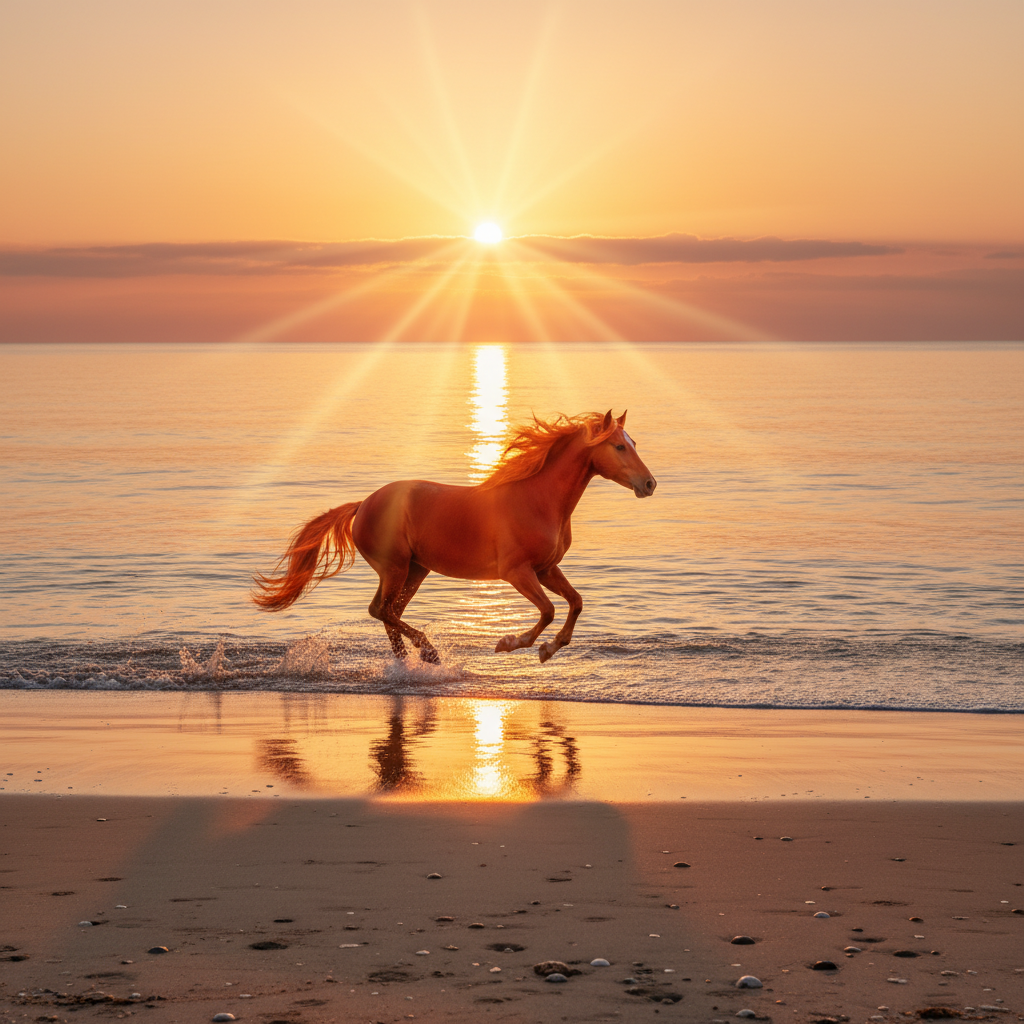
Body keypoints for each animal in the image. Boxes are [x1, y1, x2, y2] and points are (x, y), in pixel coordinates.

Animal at [252, 409, 656, 664]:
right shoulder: (516, 572)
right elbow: (549, 610)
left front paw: (550, 649)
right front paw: (512, 644)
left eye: (634, 442)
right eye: (619, 446)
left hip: (415, 570)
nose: (650, 484)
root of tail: (363, 504)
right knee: (383, 610)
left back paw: (407, 664)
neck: (539, 500)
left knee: (386, 612)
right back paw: (427, 653)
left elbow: (575, 603)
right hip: (396, 568)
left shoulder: (545, 569)